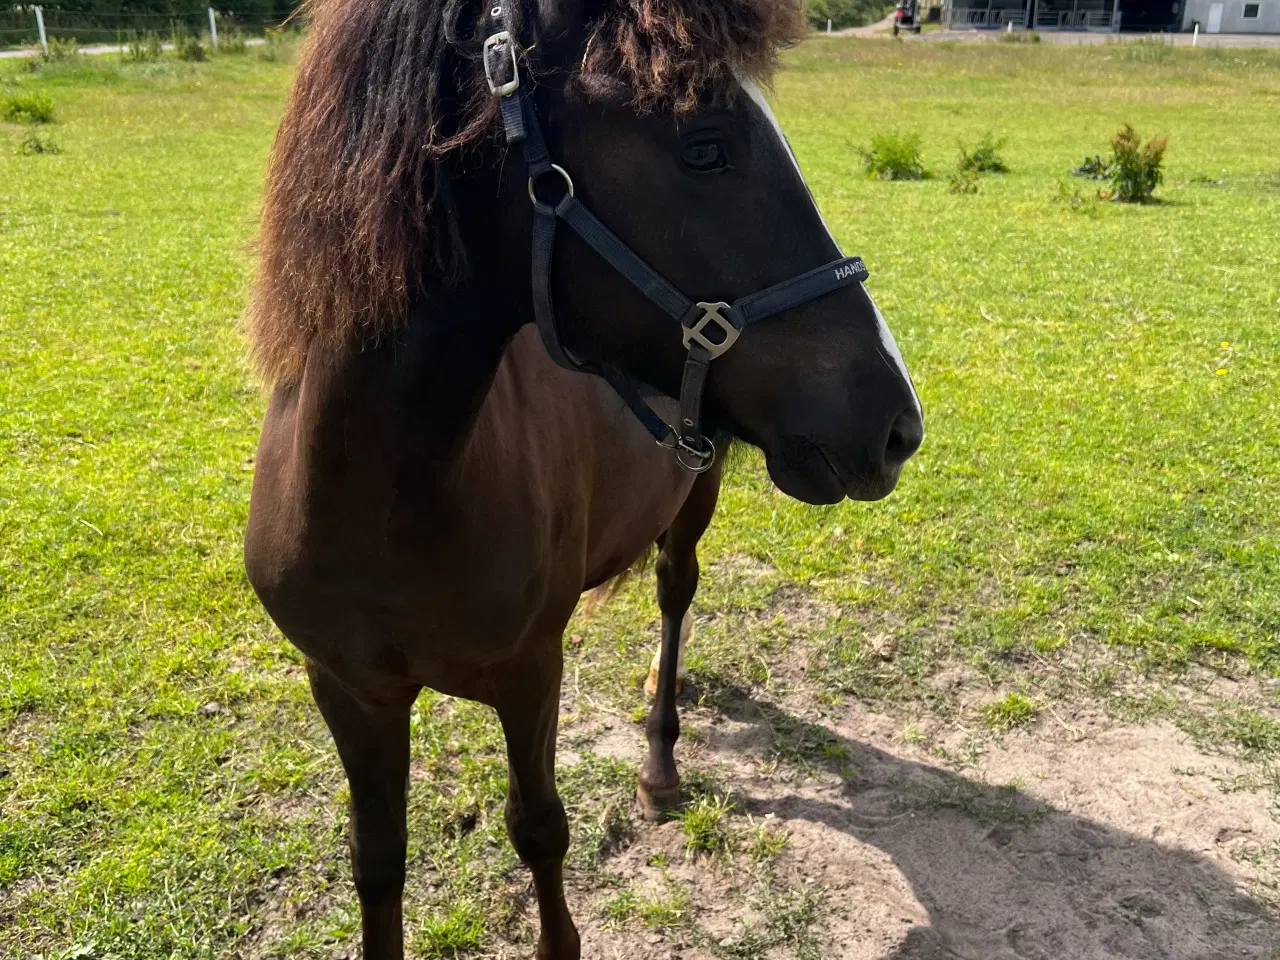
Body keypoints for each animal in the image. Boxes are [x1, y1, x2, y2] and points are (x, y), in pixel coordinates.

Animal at [240, 0, 921, 957]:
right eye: (704, 147)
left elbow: (538, 827)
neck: (390, 502)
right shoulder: (347, 688)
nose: (897, 425)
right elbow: (377, 858)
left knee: (675, 592)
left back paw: (661, 758)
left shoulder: (532, 672)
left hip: (697, 494)